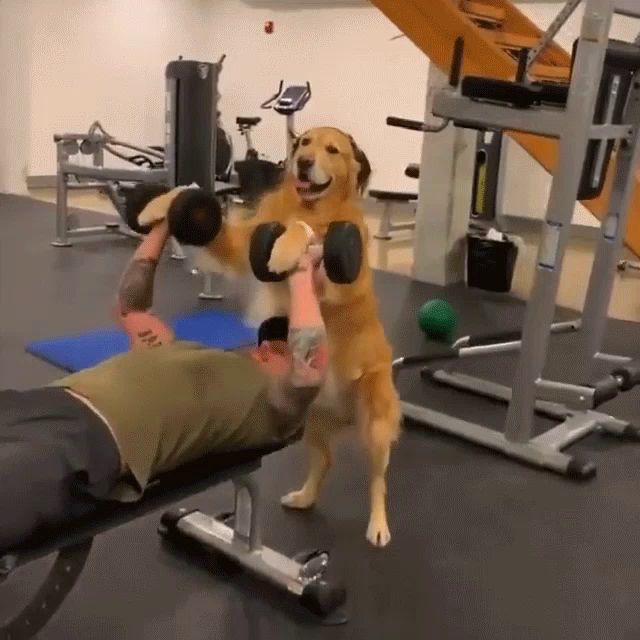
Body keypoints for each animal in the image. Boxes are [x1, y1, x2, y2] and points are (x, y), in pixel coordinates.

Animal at [141, 127, 400, 548]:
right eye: (304, 142)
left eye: (332, 150)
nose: (304, 163)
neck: (310, 208)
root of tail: (343, 413)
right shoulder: (242, 245)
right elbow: (195, 206)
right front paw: (159, 204)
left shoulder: (338, 276)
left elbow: (302, 235)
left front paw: (284, 249)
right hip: (311, 421)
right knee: (324, 460)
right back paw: (304, 497)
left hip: (376, 423)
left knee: (378, 480)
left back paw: (378, 525)